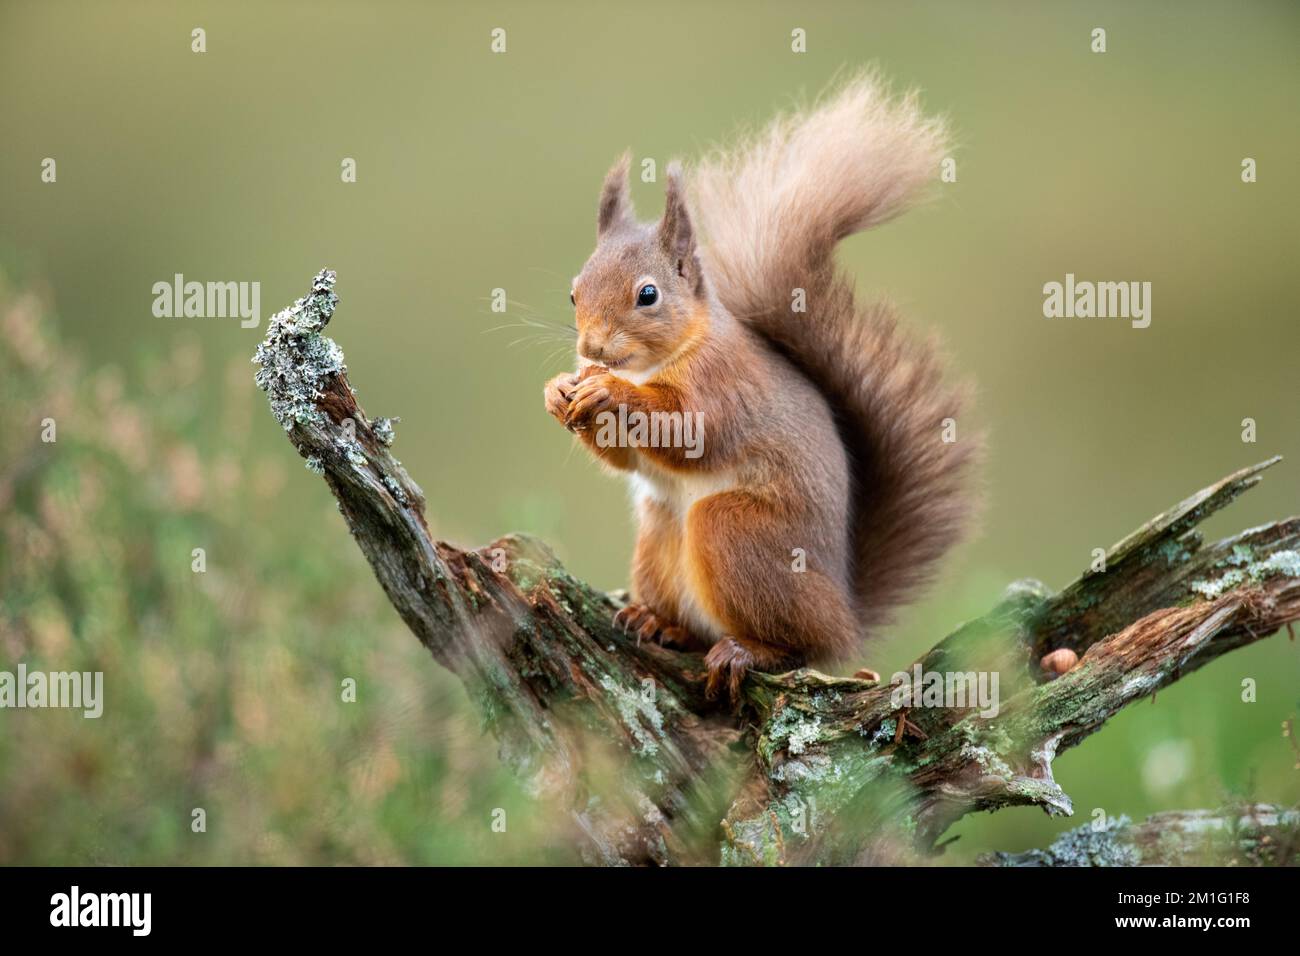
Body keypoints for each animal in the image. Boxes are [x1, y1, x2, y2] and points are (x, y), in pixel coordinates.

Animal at [543, 73, 979, 702]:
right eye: (574, 292)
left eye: (648, 294)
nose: (592, 350)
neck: (655, 363)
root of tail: (846, 616)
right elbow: (626, 458)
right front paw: (559, 392)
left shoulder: (725, 385)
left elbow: (688, 431)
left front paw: (610, 395)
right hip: (658, 535)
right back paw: (659, 621)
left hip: (736, 532)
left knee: (798, 646)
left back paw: (748, 651)